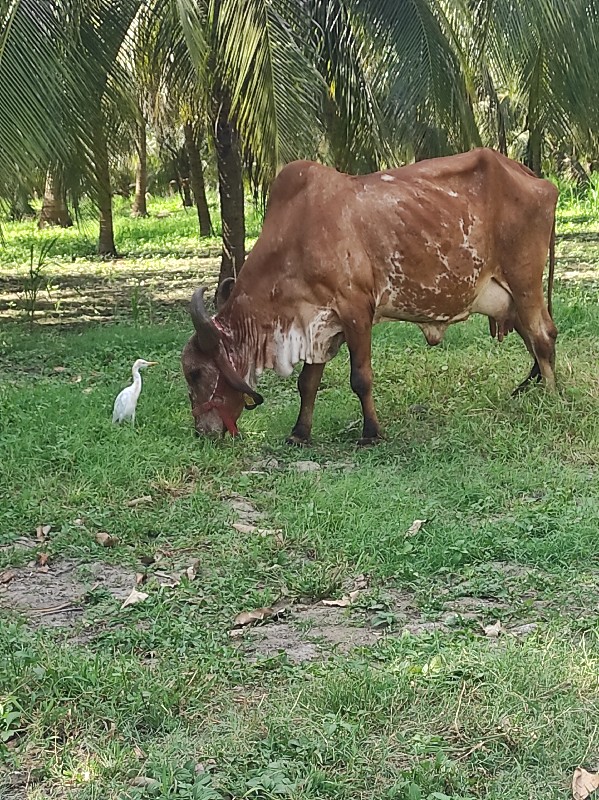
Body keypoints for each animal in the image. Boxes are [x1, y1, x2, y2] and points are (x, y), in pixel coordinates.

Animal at [183, 147, 556, 444]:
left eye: (195, 372)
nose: (201, 431)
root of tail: (535, 178)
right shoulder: (317, 324)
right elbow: (307, 383)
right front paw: (300, 433)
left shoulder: (356, 311)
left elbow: (361, 379)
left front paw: (371, 433)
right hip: (510, 297)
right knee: (537, 336)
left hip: (525, 283)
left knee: (543, 337)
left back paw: (552, 400)